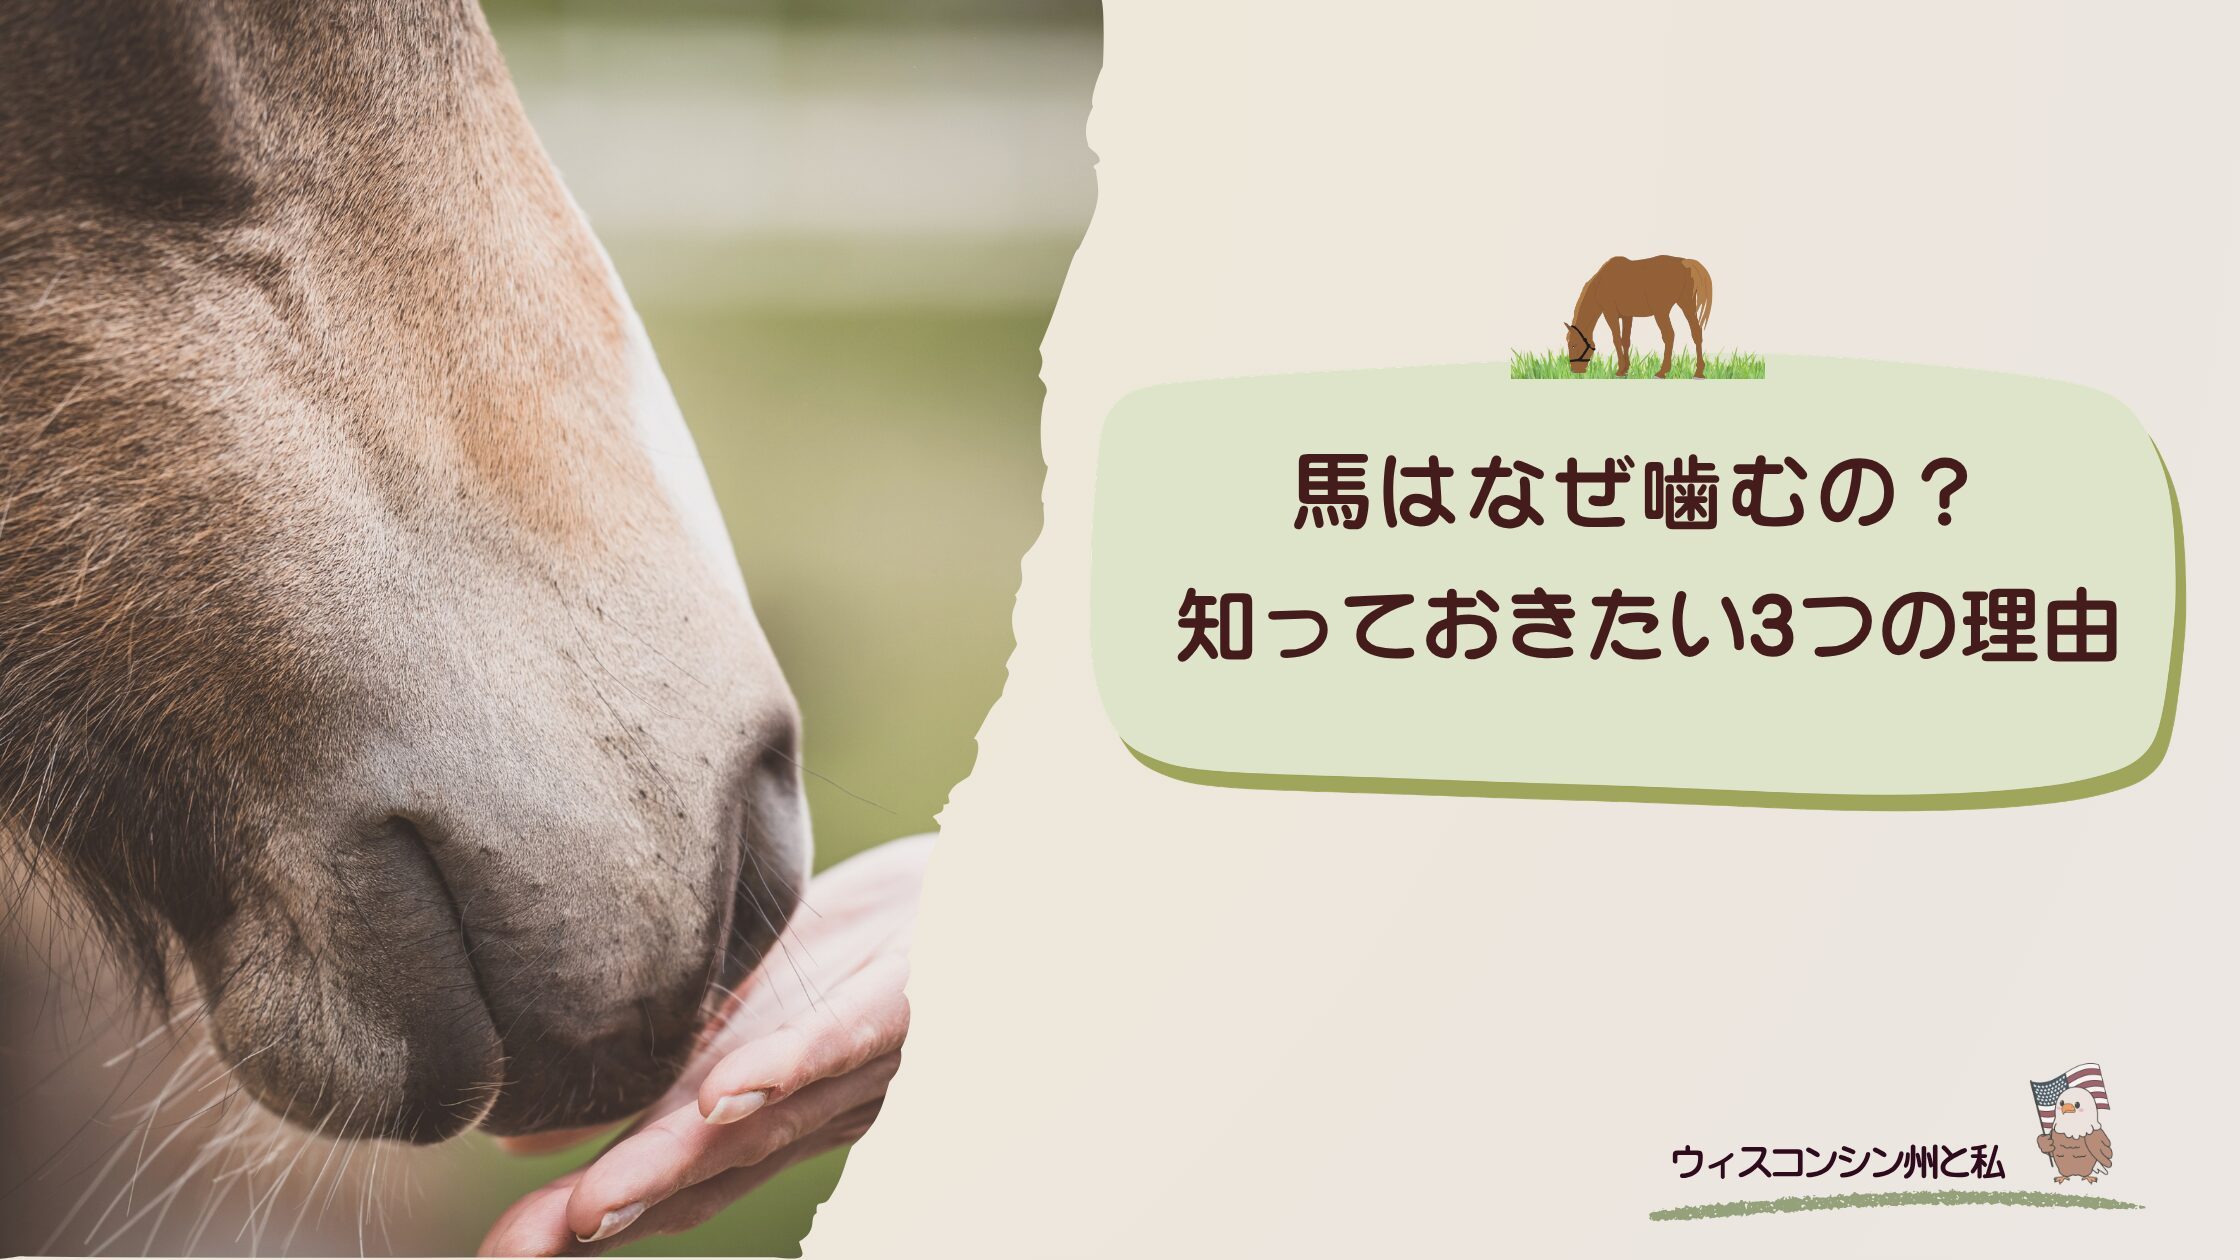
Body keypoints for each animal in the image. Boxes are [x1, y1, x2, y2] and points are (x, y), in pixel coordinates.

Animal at [1562, 255, 1714, 378]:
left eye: (1573, 345)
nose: (1575, 370)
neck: (1600, 283)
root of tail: (1684, 262)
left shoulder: (1609, 313)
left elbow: (1616, 339)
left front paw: (1619, 370)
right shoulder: (1627, 316)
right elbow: (1625, 341)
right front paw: (1626, 369)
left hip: (1661, 311)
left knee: (1669, 335)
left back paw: (1662, 372)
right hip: (1687, 305)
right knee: (1696, 333)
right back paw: (1699, 372)